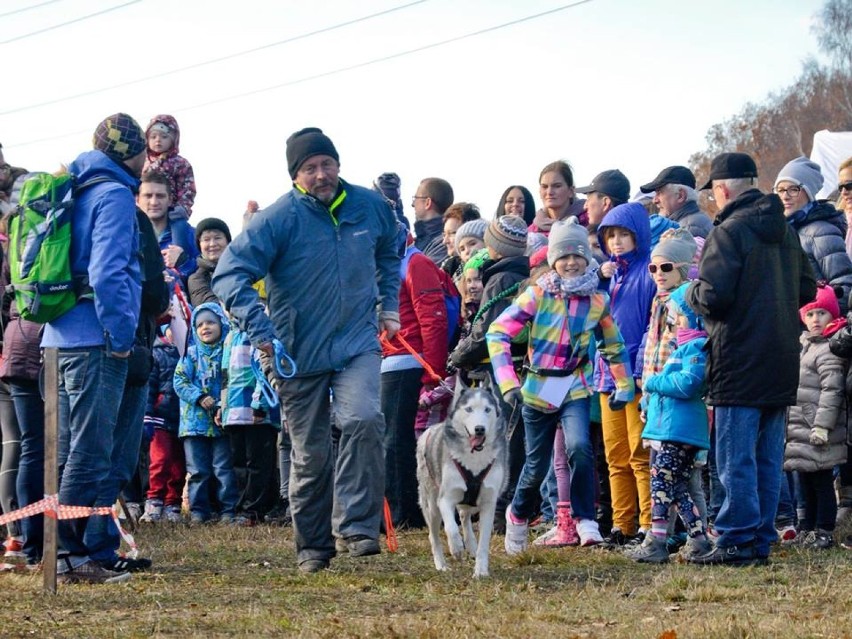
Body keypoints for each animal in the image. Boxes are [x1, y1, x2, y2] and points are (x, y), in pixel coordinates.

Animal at [418, 380, 510, 580]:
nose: (479, 429)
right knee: (434, 535)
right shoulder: (445, 498)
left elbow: (484, 542)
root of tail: (429, 430)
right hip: (432, 505)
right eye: (468, 409)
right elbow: (451, 528)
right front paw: (456, 548)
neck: (474, 460)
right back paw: (441, 564)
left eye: (487, 409)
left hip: (469, 502)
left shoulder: (488, 503)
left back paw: (471, 544)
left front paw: (481, 570)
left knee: (464, 515)